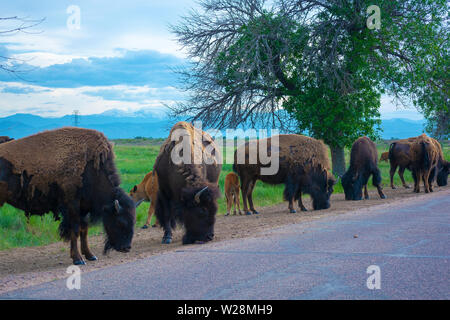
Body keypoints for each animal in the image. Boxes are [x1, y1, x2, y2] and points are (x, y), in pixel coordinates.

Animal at [0, 127, 135, 264]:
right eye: (120, 221)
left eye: (133, 220)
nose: (127, 247)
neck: (90, 170)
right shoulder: (72, 206)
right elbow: (74, 230)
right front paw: (78, 259)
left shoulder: (83, 209)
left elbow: (84, 230)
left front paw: (90, 255)